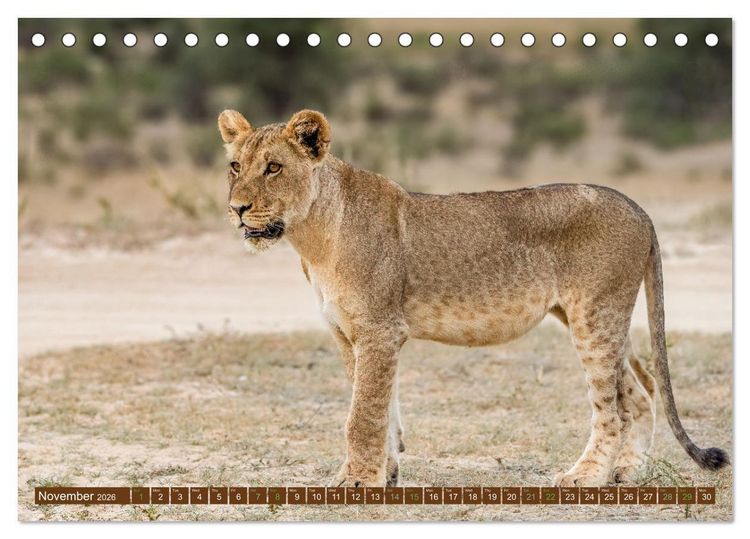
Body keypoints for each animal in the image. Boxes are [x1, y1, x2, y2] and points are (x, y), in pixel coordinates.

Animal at [217, 108, 729, 487]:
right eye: (236, 166)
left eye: (274, 167)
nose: (237, 209)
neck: (312, 236)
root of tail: (637, 206)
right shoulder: (349, 336)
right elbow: (381, 407)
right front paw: (384, 474)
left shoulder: (379, 331)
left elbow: (362, 414)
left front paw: (358, 482)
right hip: (596, 315)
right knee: (640, 389)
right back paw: (627, 471)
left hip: (595, 315)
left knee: (610, 406)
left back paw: (585, 476)